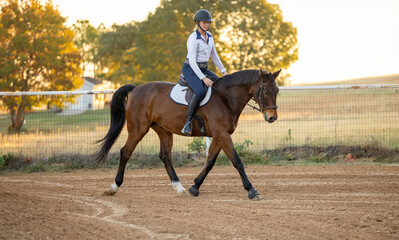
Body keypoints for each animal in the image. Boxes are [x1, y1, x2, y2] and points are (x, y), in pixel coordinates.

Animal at [95, 69, 282, 199]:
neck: (225, 99)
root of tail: (136, 89)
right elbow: (237, 161)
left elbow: (210, 162)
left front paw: (195, 187)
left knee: (165, 156)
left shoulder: (219, 136)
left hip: (163, 130)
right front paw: (252, 190)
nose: (272, 117)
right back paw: (114, 187)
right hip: (138, 129)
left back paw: (179, 188)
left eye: (277, 91)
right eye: (266, 92)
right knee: (125, 152)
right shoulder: (222, 135)